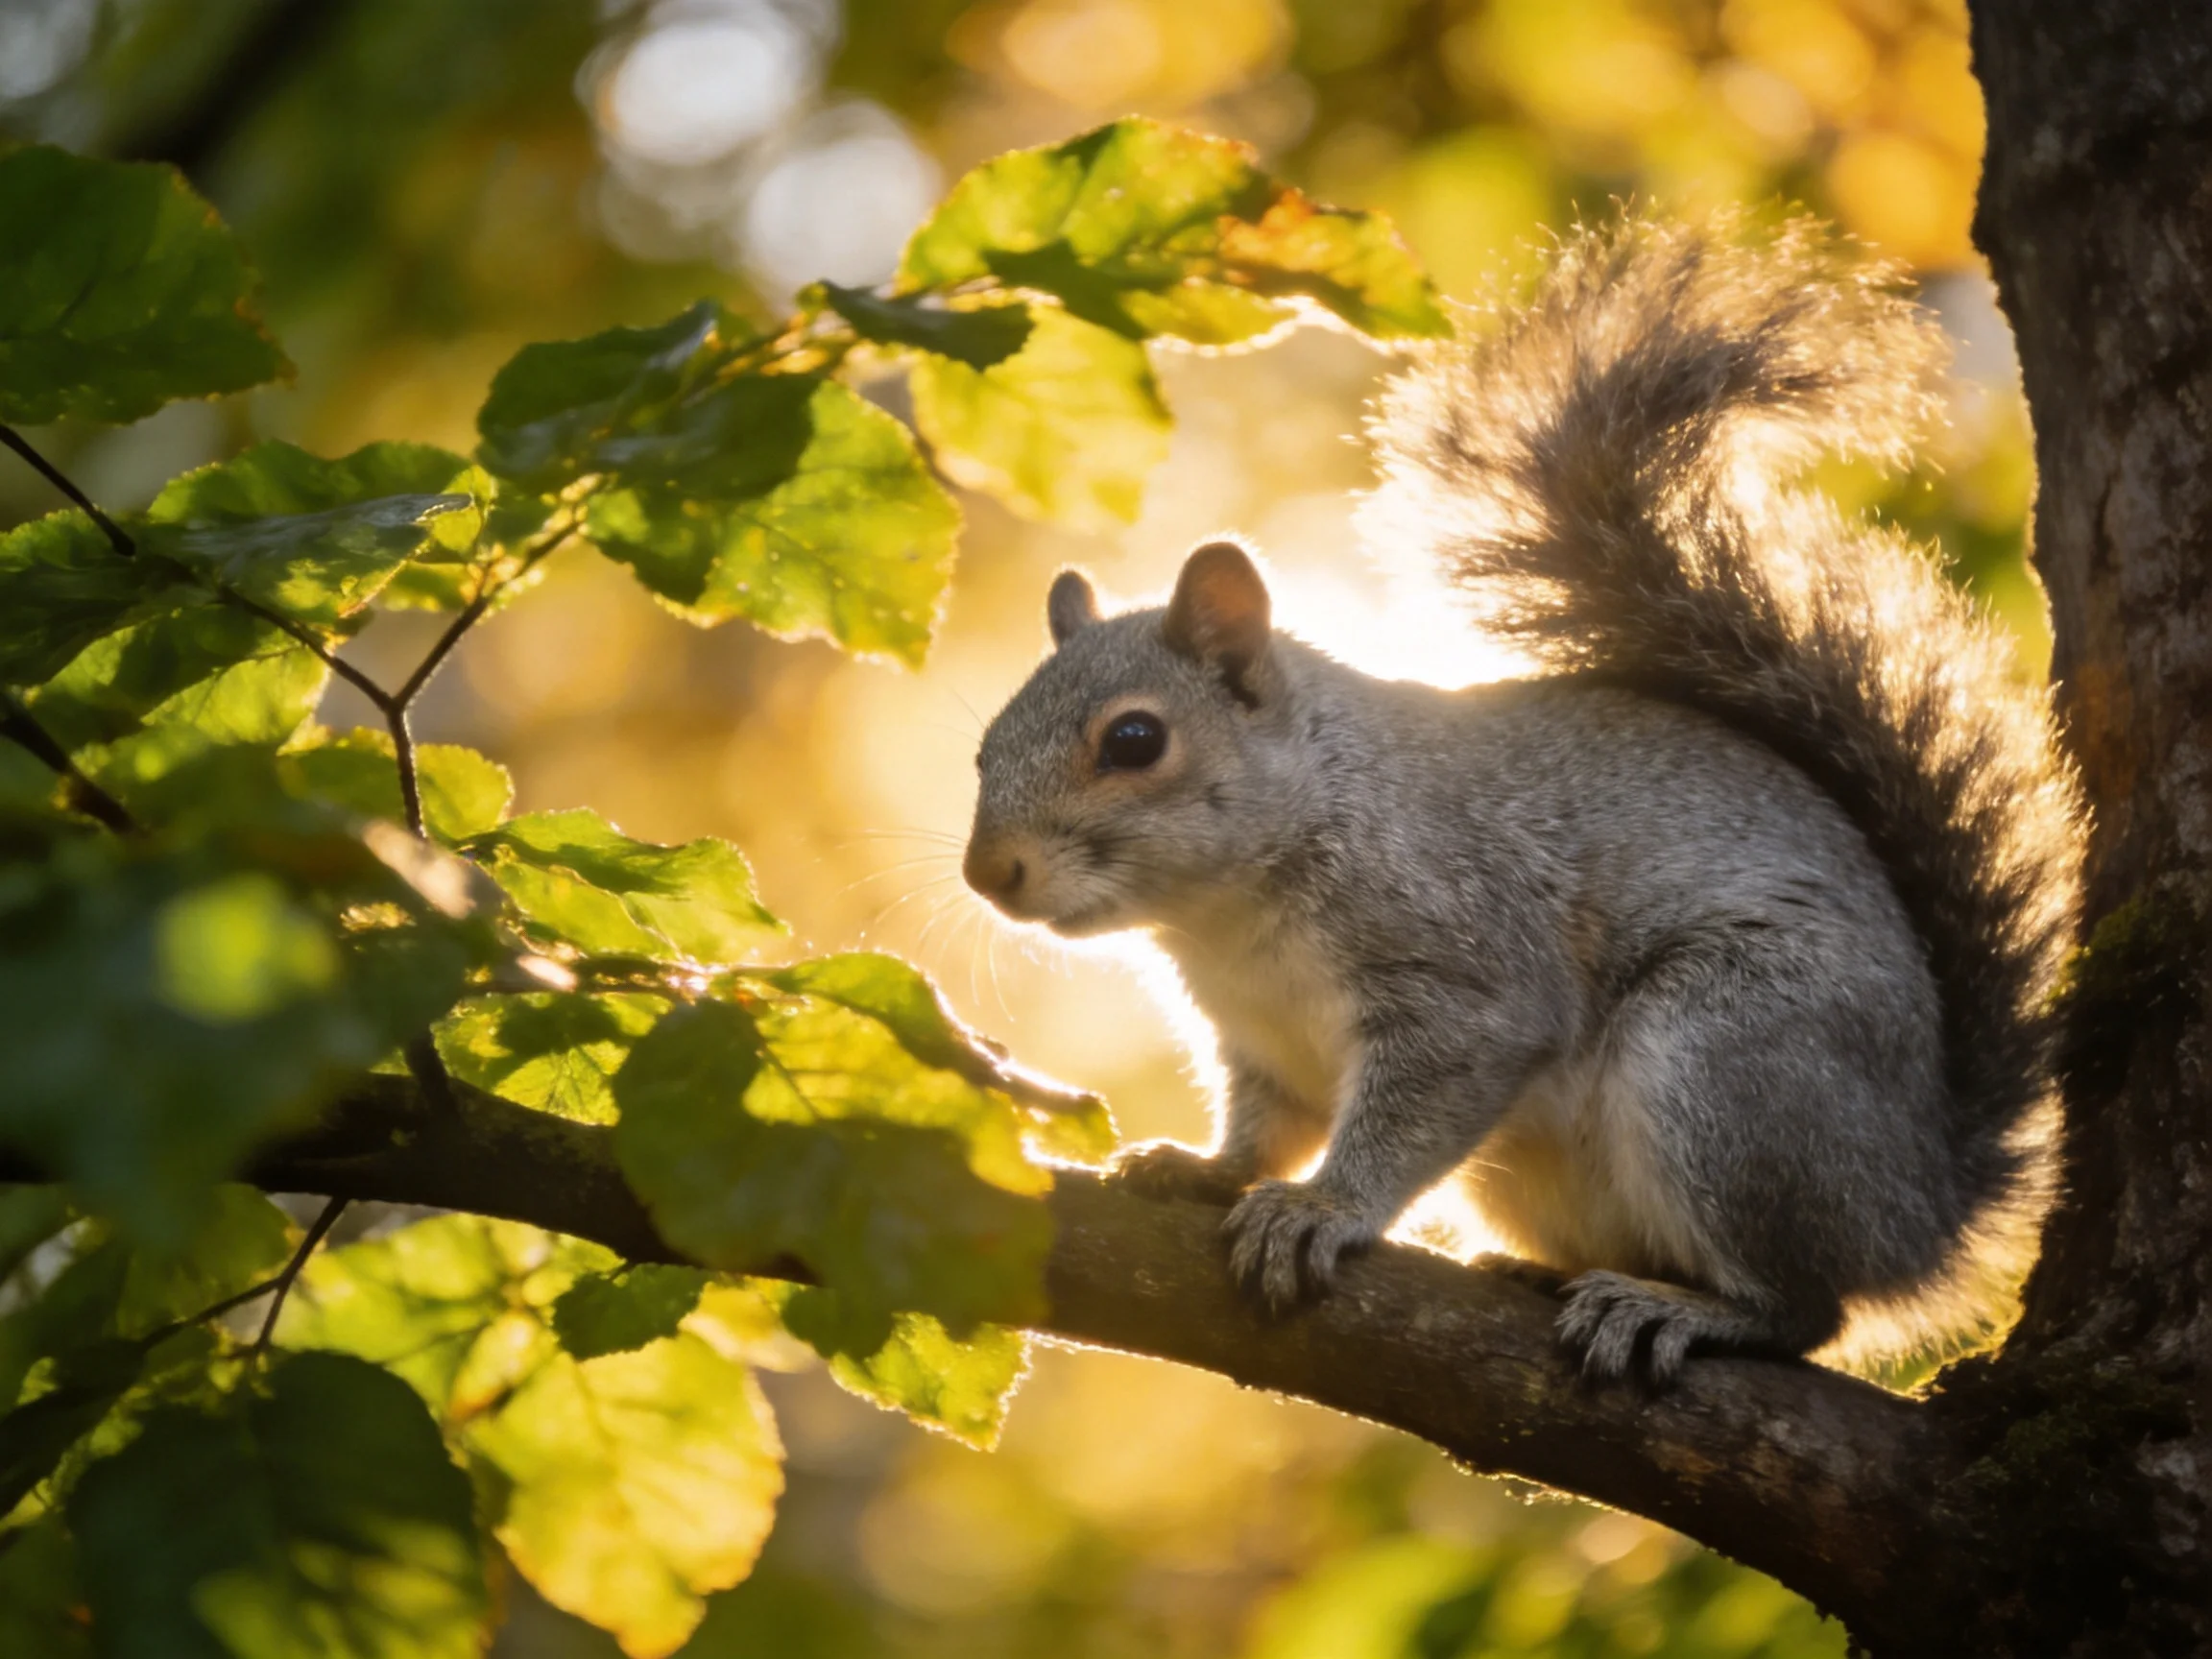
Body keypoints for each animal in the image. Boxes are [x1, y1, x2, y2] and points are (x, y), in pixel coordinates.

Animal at [960, 215, 2082, 1384]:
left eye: (1134, 741)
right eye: (982, 752)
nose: (988, 872)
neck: (1228, 916)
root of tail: (1924, 1207)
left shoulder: (1464, 967)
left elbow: (1417, 1107)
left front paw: (1322, 1209)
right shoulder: (1267, 1047)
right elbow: (1272, 1124)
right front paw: (1207, 1166)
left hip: (1733, 1062)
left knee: (1806, 1309)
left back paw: (1683, 1309)